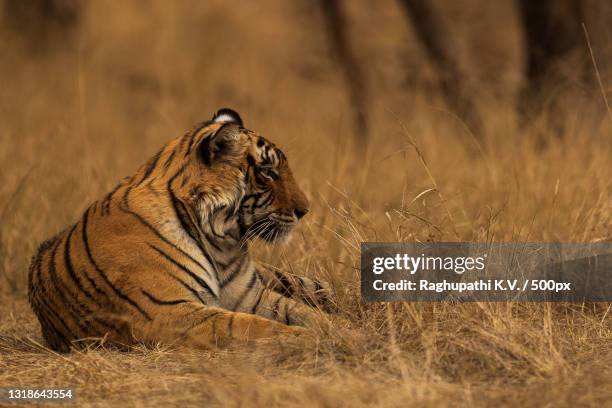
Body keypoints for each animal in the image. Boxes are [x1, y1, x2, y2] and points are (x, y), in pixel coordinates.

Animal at [27, 108, 334, 354]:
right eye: (268, 172)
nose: (304, 210)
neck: (222, 242)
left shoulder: (250, 296)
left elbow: (301, 311)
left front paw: (335, 328)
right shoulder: (168, 312)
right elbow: (246, 325)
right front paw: (309, 337)